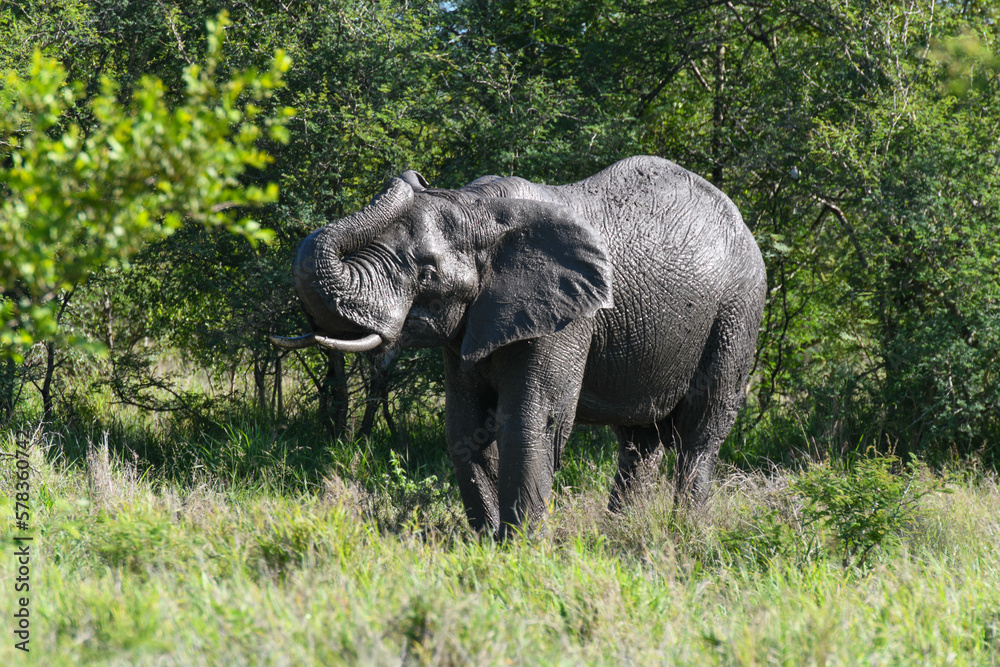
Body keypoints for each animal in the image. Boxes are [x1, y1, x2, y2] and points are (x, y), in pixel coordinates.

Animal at [271, 156, 766, 538]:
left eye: (427, 273)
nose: (413, 176)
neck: (481, 209)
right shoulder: (470, 324)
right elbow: (464, 428)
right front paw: (486, 541)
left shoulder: (569, 317)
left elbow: (531, 422)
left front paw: (521, 548)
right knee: (639, 442)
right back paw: (619, 531)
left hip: (737, 311)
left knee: (700, 433)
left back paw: (684, 530)